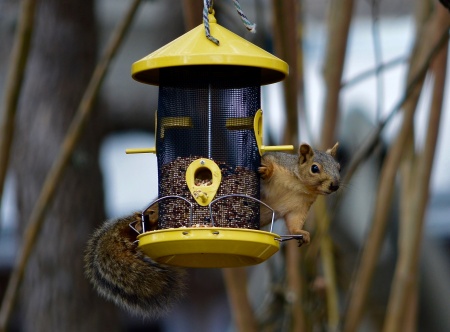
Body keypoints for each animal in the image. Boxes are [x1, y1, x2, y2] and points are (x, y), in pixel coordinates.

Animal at [82, 142, 340, 316]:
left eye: (338, 166)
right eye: (315, 168)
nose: (335, 185)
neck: (300, 185)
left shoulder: (300, 207)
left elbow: (295, 224)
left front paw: (304, 234)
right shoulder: (279, 162)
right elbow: (268, 160)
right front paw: (265, 170)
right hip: (155, 208)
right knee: (149, 215)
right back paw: (148, 218)